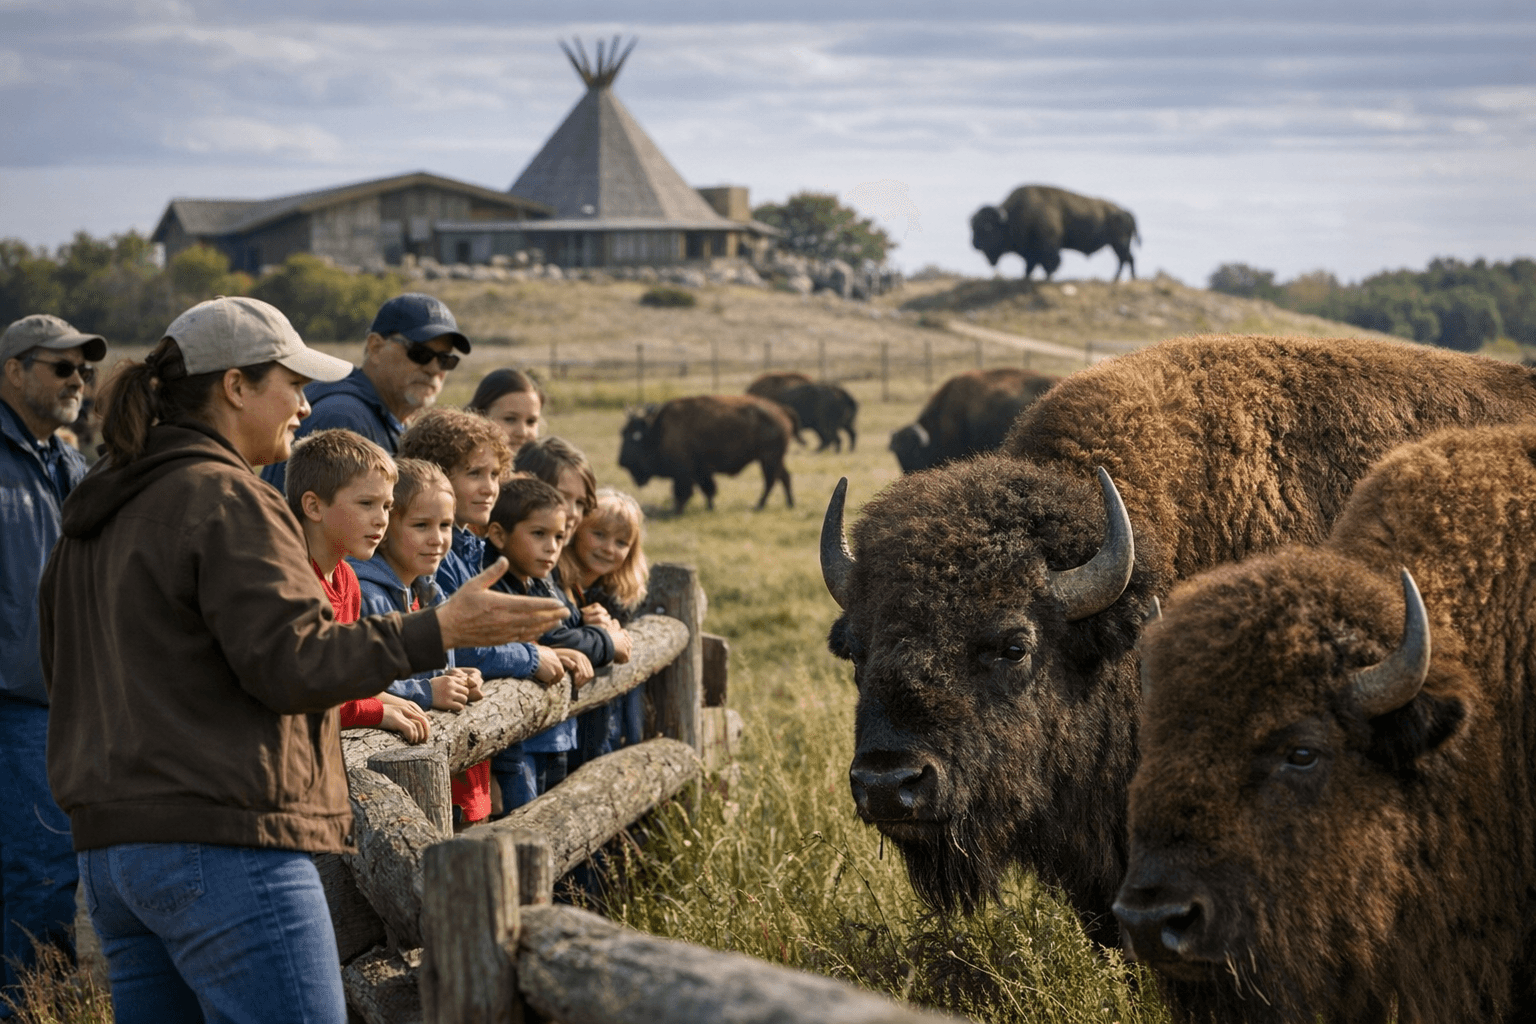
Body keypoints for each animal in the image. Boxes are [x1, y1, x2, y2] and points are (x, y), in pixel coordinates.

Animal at [620, 395, 795, 513]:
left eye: (634, 438)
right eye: (623, 432)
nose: (621, 461)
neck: (658, 431)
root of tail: (781, 410)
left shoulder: (684, 473)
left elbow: (684, 492)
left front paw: (678, 510)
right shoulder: (700, 471)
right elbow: (707, 489)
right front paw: (710, 507)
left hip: (769, 459)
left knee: (771, 481)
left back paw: (759, 505)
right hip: (774, 459)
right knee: (784, 477)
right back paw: (789, 504)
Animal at [971, 184, 1139, 282]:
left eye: (986, 227)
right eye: (973, 227)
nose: (974, 244)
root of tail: (1126, 212)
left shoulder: (1048, 248)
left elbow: (1050, 264)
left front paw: (1047, 279)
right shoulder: (1032, 254)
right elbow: (1029, 268)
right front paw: (1027, 279)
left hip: (1119, 244)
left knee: (1126, 259)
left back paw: (1119, 279)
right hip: (1117, 245)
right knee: (1127, 259)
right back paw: (1124, 279)